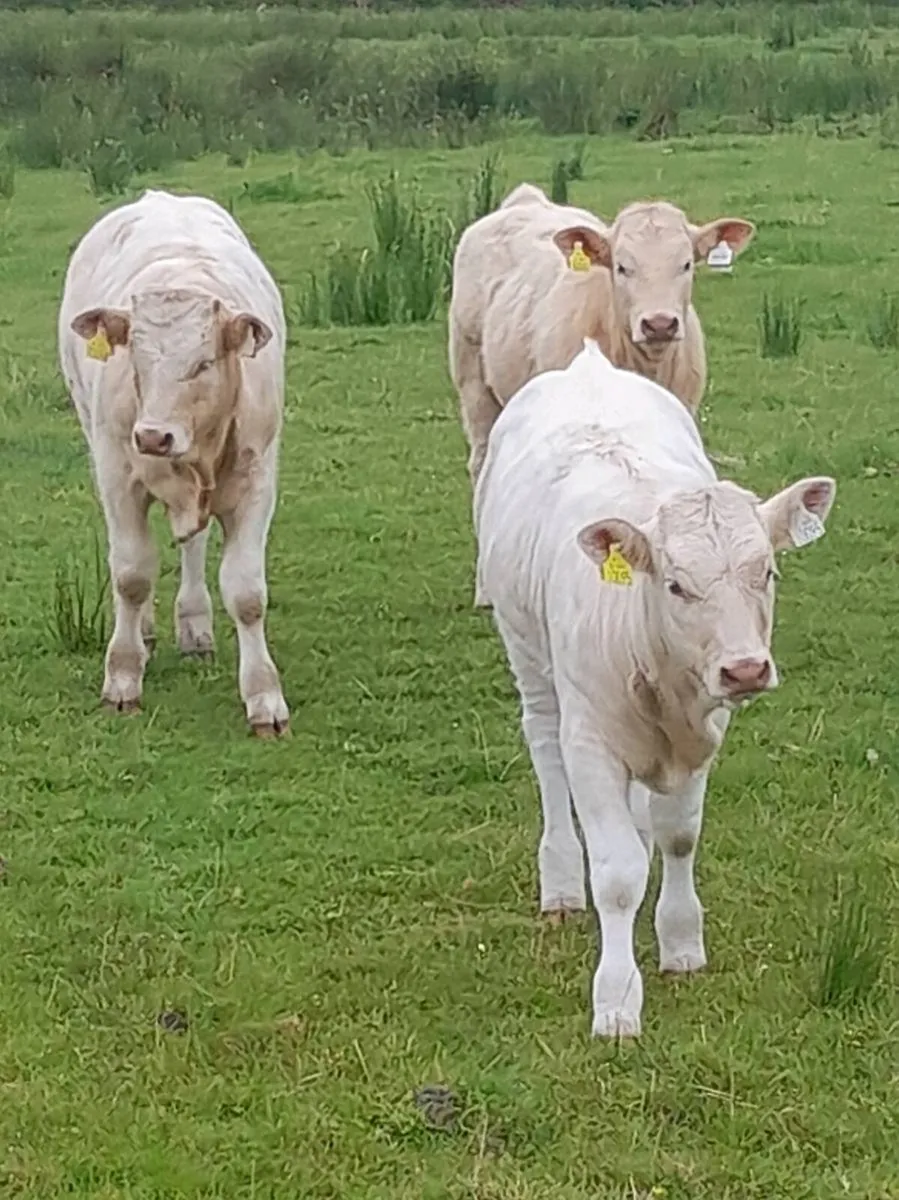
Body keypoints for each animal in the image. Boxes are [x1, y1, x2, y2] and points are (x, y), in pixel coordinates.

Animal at [58, 188, 289, 737]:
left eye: (203, 363)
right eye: (136, 361)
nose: (153, 435)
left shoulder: (257, 481)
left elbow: (247, 592)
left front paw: (265, 698)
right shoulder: (116, 474)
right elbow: (131, 574)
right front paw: (122, 678)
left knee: (194, 546)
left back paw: (194, 627)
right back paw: (142, 631)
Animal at [475, 339, 835, 1038]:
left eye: (767, 572)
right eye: (675, 584)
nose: (745, 669)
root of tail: (589, 363)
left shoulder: (704, 735)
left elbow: (678, 837)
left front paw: (681, 941)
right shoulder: (590, 741)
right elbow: (616, 875)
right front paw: (615, 1001)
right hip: (529, 657)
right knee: (545, 754)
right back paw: (562, 879)